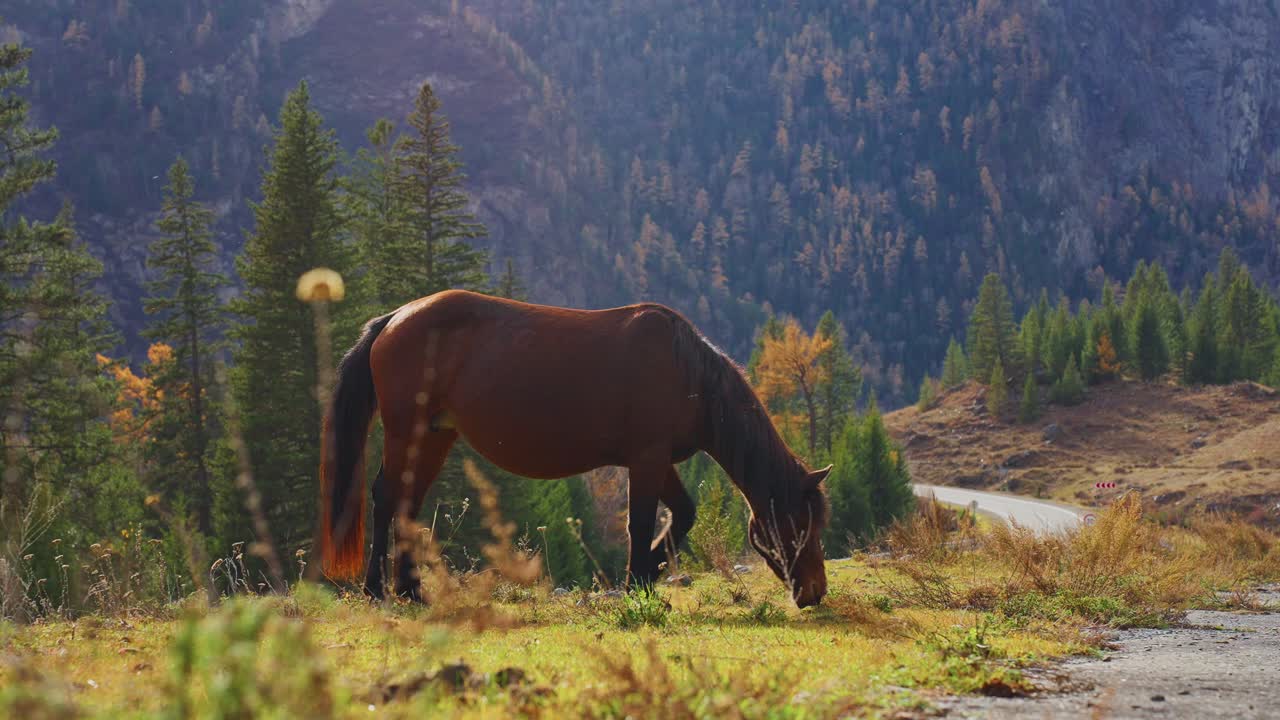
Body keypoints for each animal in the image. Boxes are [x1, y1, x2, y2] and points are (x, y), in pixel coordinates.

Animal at [317, 290, 831, 607]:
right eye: (802, 524)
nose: (815, 592)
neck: (689, 375)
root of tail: (393, 319)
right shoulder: (646, 458)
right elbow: (640, 522)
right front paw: (638, 583)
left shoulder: (659, 460)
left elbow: (681, 515)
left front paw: (649, 572)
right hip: (408, 431)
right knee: (387, 499)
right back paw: (379, 590)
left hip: (434, 435)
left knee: (406, 503)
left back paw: (410, 590)